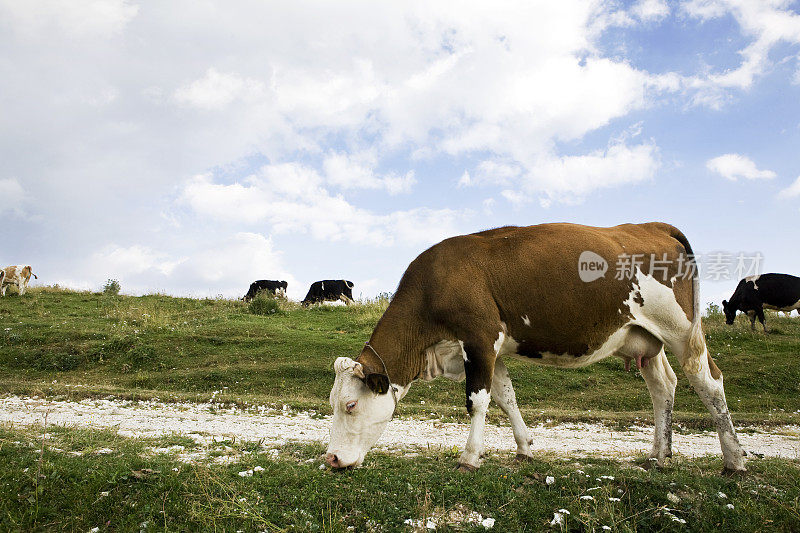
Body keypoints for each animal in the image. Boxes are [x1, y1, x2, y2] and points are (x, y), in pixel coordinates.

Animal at [322, 222, 748, 472]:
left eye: (351, 405)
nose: (331, 458)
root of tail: (651, 225)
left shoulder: (480, 339)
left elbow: (477, 402)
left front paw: (469, 458)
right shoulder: (488, 351)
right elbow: (506, 396)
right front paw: (525, 448)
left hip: (680, 329)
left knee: (709, 382)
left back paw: (734, 461)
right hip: (646, 339)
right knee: (663, 387)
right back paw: (659, 455)